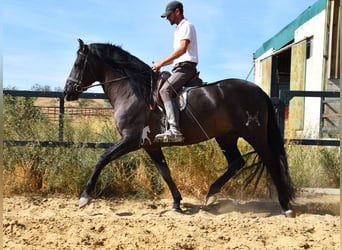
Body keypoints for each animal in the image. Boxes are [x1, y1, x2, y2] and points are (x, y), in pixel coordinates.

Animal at [65, 39, 296, 217]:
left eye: (78, 63)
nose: (68, 91)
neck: (134, 92)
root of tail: (258, 90)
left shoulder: (131, 140)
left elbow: (102, 159)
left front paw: (85, 197)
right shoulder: (150, 145)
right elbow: (165, 172)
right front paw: (176, 203)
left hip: (253, 134)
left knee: (271, 162)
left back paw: (285, 206)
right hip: (226, 136)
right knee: (236, 162)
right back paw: (211, 194)